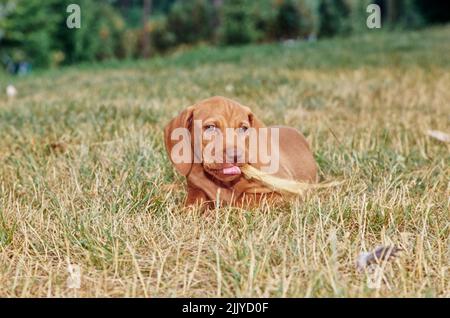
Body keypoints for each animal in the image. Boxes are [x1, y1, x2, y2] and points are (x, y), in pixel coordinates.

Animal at [164, 95, 316, 207]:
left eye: (243, 128)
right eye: (210, 127)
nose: (235, 156)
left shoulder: (284, 193)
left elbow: (244, 201)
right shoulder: (196, 189)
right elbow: (192, 203)